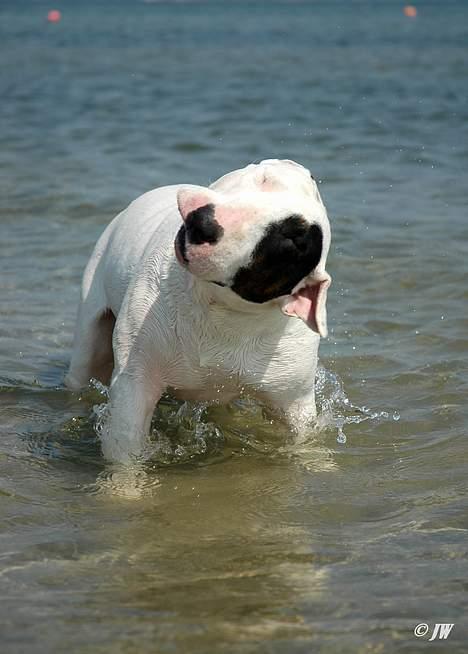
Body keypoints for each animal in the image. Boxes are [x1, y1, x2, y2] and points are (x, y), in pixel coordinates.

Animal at [66, 161, 330, 464]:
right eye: (265, 180)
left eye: (291, 242)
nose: (206, 224)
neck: (220, 309)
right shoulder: (135, 378)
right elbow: (126, 445)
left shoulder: (293, 400)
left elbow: (305, 438)